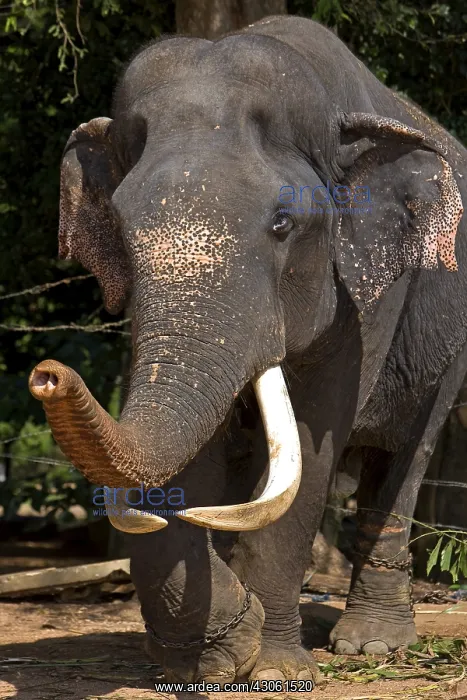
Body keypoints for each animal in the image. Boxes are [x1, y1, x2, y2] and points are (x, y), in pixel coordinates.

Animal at [29, 14, 467, 685]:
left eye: (283, 224)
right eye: (122, 235)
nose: (48, 375)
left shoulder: (366, 293)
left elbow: (312, 440)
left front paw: (272, 669)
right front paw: (212, 658)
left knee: (406, 456)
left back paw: (371, 645)